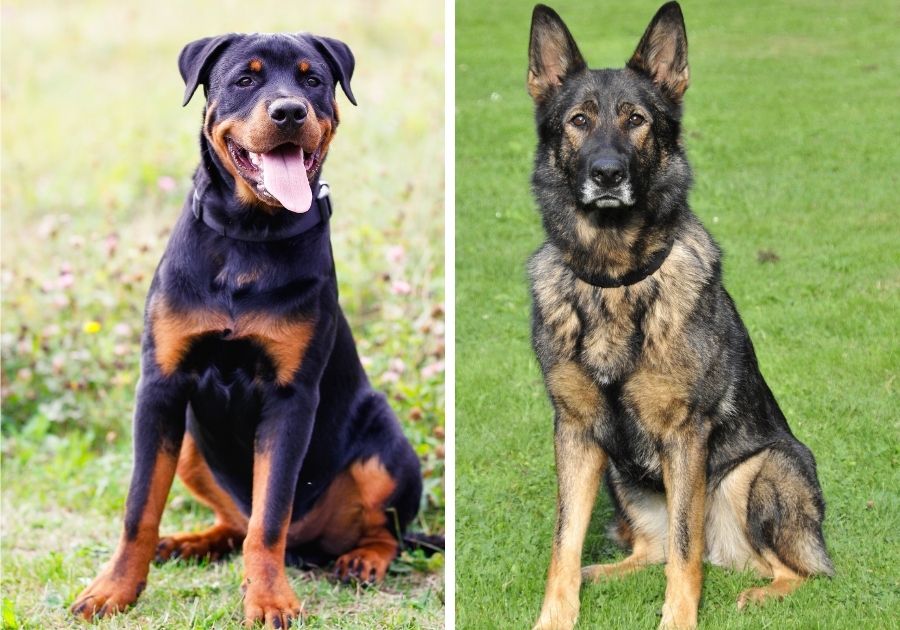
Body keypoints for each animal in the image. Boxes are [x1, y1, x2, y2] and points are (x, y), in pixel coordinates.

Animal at [68, 33, 428, 628]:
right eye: (245, 79)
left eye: (312, 79)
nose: (289, 112)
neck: (249, 236)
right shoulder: (161, 387)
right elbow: (139, 508)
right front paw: (113, 590)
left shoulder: (289, 398)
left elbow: (270, 515)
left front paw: (270, 599)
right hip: (191, 444)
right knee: (233, 523)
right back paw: (188, 542)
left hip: (385, 442)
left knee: (380, 530)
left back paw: (362, 560)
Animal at [532, 4, 832, 630]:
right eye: (578, 121)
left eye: (636, 120)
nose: (607, 173)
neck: (616, 280)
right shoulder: (576, 431)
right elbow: (564, 543)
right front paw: (554, 616)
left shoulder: (686, 436)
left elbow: (683, 548)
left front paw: (677, 620)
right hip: (621, 473)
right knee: (649, 549)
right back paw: (602, 573)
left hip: (763, 470)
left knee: (796, 570)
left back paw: (760, 592)